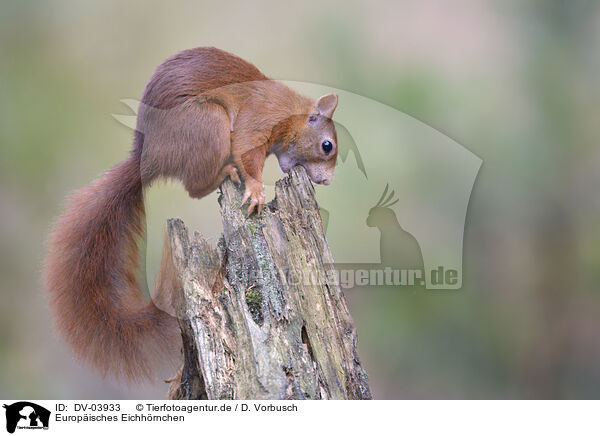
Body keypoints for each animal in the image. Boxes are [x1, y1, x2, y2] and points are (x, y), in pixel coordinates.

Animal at [43, 47, 338, 382]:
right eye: (326, 146)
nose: (327, 181)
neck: (291, 113)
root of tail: (149, 159)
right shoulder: (258, 119)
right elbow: (247, 152)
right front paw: (255, 190)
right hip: (207, 125)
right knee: (195, 188)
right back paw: (226, 173)